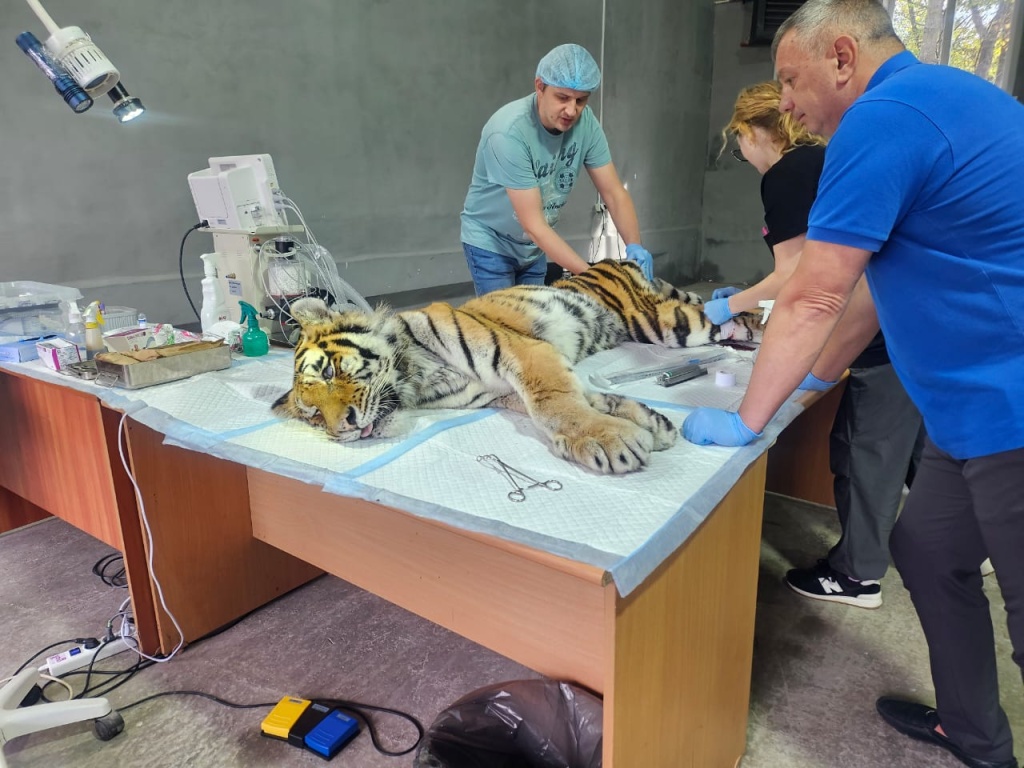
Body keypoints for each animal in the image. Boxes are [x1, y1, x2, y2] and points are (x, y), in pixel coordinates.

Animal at [272, 259, 760, 474]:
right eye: (313, 415)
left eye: (330, 372)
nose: (344, 427)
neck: (420, 378)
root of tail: (615, 257)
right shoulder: (500, 392)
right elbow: (585, 398)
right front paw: (648, 423)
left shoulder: (524, 353)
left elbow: (554, 402)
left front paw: (605, 440)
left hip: (665, 324)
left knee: (733, 314)